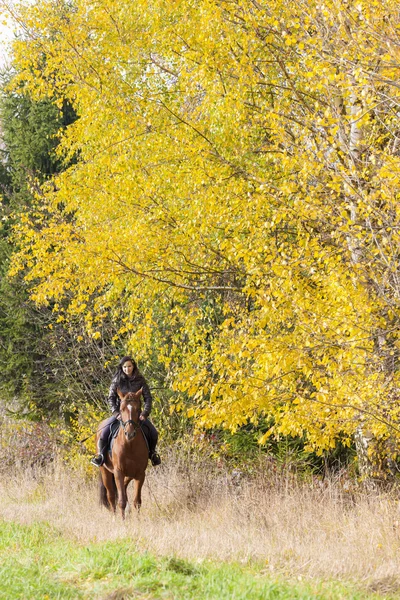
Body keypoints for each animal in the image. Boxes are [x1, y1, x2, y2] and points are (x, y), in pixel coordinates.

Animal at [97, 386, 148, 516]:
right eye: (121, 409)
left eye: (138, 409)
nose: (130, 434)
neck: (130, 445)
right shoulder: (118, 472)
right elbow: (121, 501)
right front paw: (122, 519)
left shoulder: (140, 474)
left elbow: (137, 501)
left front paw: (138, 519)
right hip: (105, 471)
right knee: (111, 496)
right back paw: (114, 516)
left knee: (123, 488)